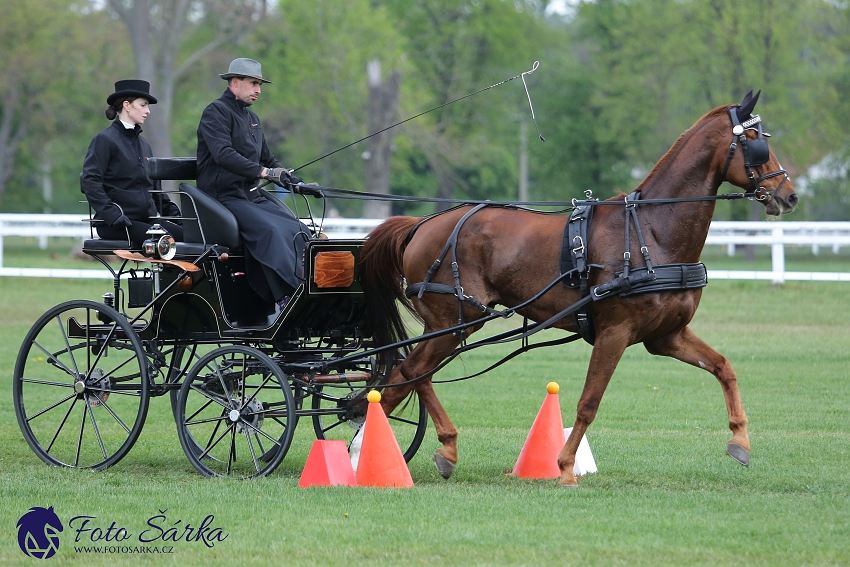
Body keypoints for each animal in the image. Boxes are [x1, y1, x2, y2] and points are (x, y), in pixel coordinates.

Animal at [358, 91, 796, 486]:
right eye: (755, 142)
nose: (788, 196)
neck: (649, 231)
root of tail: (420, 225)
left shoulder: (667, 336)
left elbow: (723, 367)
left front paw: (740, 440)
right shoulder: (614, 332)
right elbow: (589, 403)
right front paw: (566, 466)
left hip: (450, 325)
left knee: (410, 375)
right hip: (454, 321)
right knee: (410, 373)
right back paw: (391, 448)